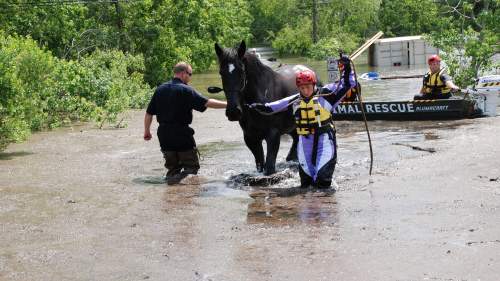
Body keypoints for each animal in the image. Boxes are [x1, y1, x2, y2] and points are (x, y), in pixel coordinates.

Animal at [215, 40, 316, 174]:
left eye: (241, 71)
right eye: (221, 73)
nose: (233, 111)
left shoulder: (273, 135)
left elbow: (269, 166)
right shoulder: (250, 138)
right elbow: (260, 164)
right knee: (296, 139)